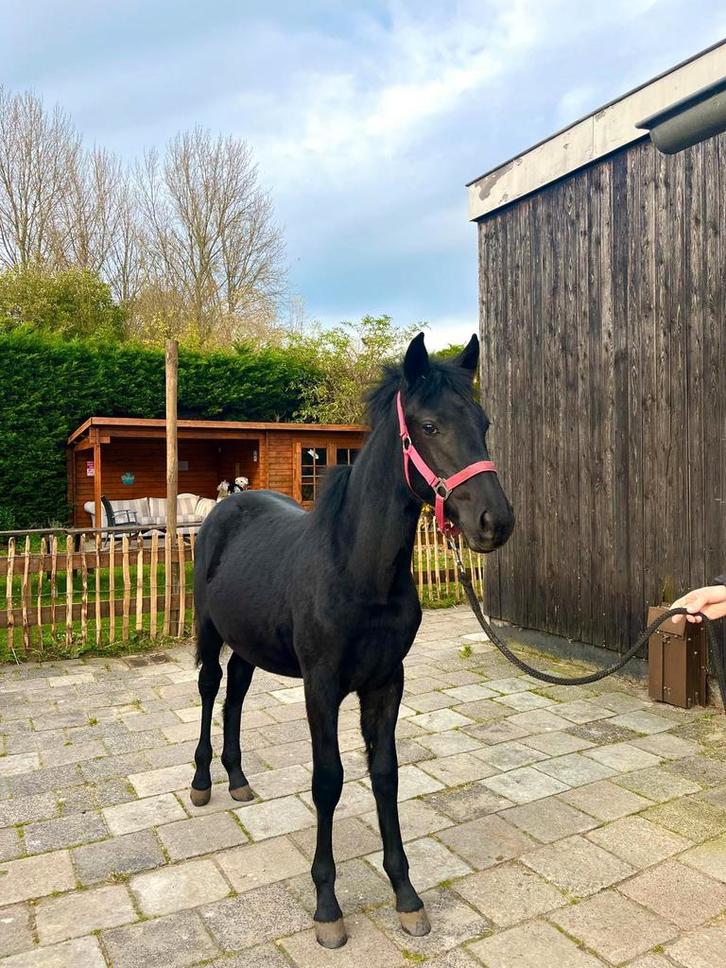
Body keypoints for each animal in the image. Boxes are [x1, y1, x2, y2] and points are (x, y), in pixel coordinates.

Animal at [191, 333, 515, 948]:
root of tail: (228, 502)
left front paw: (406, 896)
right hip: (208, 630)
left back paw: (238, 779)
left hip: (249, 642)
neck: (360, 570)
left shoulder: (386, 682)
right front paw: (327, 907)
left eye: (486, 423)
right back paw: (202, 782)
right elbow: (329, 781)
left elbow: (384, 774)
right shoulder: (321, 686)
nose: (495, 521)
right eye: (430, 426)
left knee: (236, 693)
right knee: (210, 688)